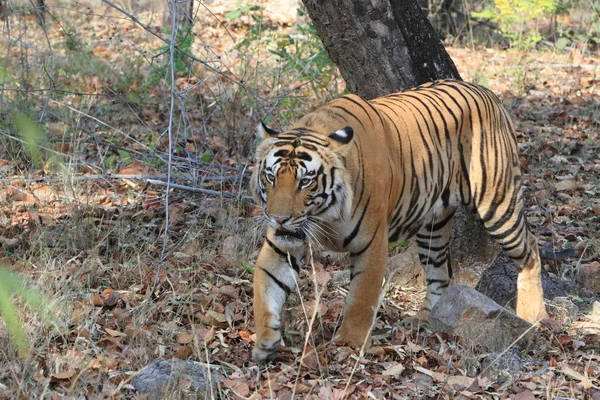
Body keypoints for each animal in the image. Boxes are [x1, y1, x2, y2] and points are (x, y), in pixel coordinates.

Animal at [248, 78, 556, 362]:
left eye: (306, 181)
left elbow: (361, 298)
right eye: (271, 177)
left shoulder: (372, 243)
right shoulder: (282, 243)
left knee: (530, 249)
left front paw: (349, 345)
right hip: (433, 227)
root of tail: (487, 91)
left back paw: (534, 315)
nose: (279, 218)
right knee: (440, 271)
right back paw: (424, 320)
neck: (324, 215)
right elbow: (265, 287)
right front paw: (265, 340)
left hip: (497, 204)